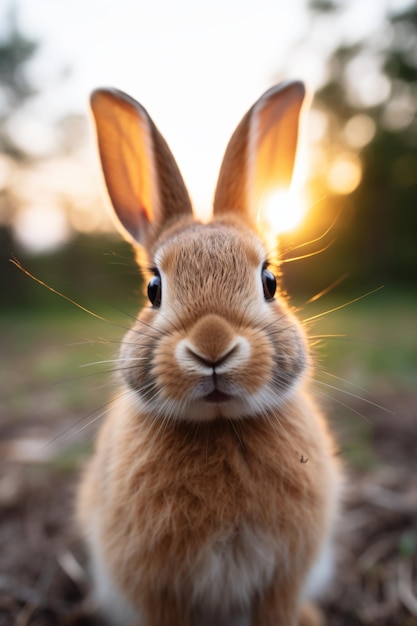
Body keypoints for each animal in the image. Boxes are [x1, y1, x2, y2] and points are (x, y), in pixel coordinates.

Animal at [77, 83, 342, 624]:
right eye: (154, 288)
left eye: (269, 281)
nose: (213, 346)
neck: (221, 428)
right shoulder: (159, 590)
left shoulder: (282, 580)